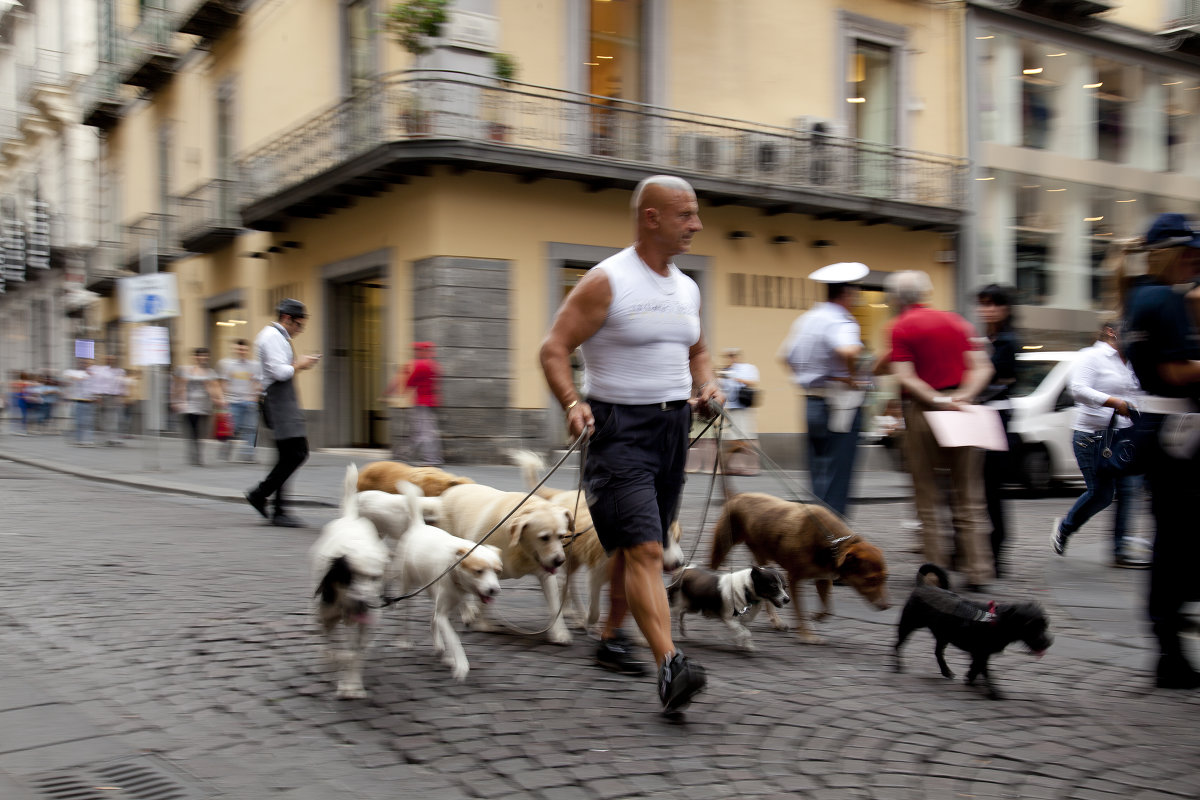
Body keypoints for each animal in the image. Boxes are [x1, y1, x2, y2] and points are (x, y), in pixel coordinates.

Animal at [309, 465, 388, 695]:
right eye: (348, 576)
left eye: (375, 578)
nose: (363, 603)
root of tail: (351, 518)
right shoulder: (324, 615)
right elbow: (335, 649)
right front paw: (337, 661)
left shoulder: (369, 621)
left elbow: (357, 652)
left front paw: (352, 683)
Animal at [388, 482, 501, 681]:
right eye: (479, 571)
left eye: (497, 571)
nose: (494, 590)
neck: (453, 570)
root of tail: (419, 526)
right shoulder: (443, 613)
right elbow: (454, 639)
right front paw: (461, 665)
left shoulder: (452, 610)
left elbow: (448, 632)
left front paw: (449, 658)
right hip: (407, 587)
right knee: (405, 615)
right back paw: (404, 640)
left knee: (432, 620)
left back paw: (439, 648)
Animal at [436, 482, 576, 642]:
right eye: (544, 538)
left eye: (561, 536)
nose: (560, 561)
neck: (520, 547)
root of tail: (453, 489)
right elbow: (484, 598)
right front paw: (483, 625)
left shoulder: (545, 575)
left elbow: (554, 605)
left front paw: (559, 633)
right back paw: (467, 612)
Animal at [705, 494, 888, 642]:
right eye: (871, 579)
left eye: (885, 578)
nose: (887, 606)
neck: (831, 544)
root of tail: (736, 495)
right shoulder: (794, 579)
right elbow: (800, 611)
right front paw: (806, 634)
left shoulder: (822, 578)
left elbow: (828, 608)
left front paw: (817, 617)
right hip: (722, 545)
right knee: (710, 568)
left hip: (763, 560)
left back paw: (776, 621)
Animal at [892, 563, 1051, 700]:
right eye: (1030, 625)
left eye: (1045, 624)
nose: (1048, 643)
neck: (997, 621)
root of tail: (922, 586)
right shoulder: (981, 653)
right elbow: (985, 671)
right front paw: (994, 692)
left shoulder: (979, 654)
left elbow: (975, 668)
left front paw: (970, 679)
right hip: (908, 625)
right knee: (897, 645)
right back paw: (898, 666)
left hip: (943, 635)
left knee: (938, 652)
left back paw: (946, 672)